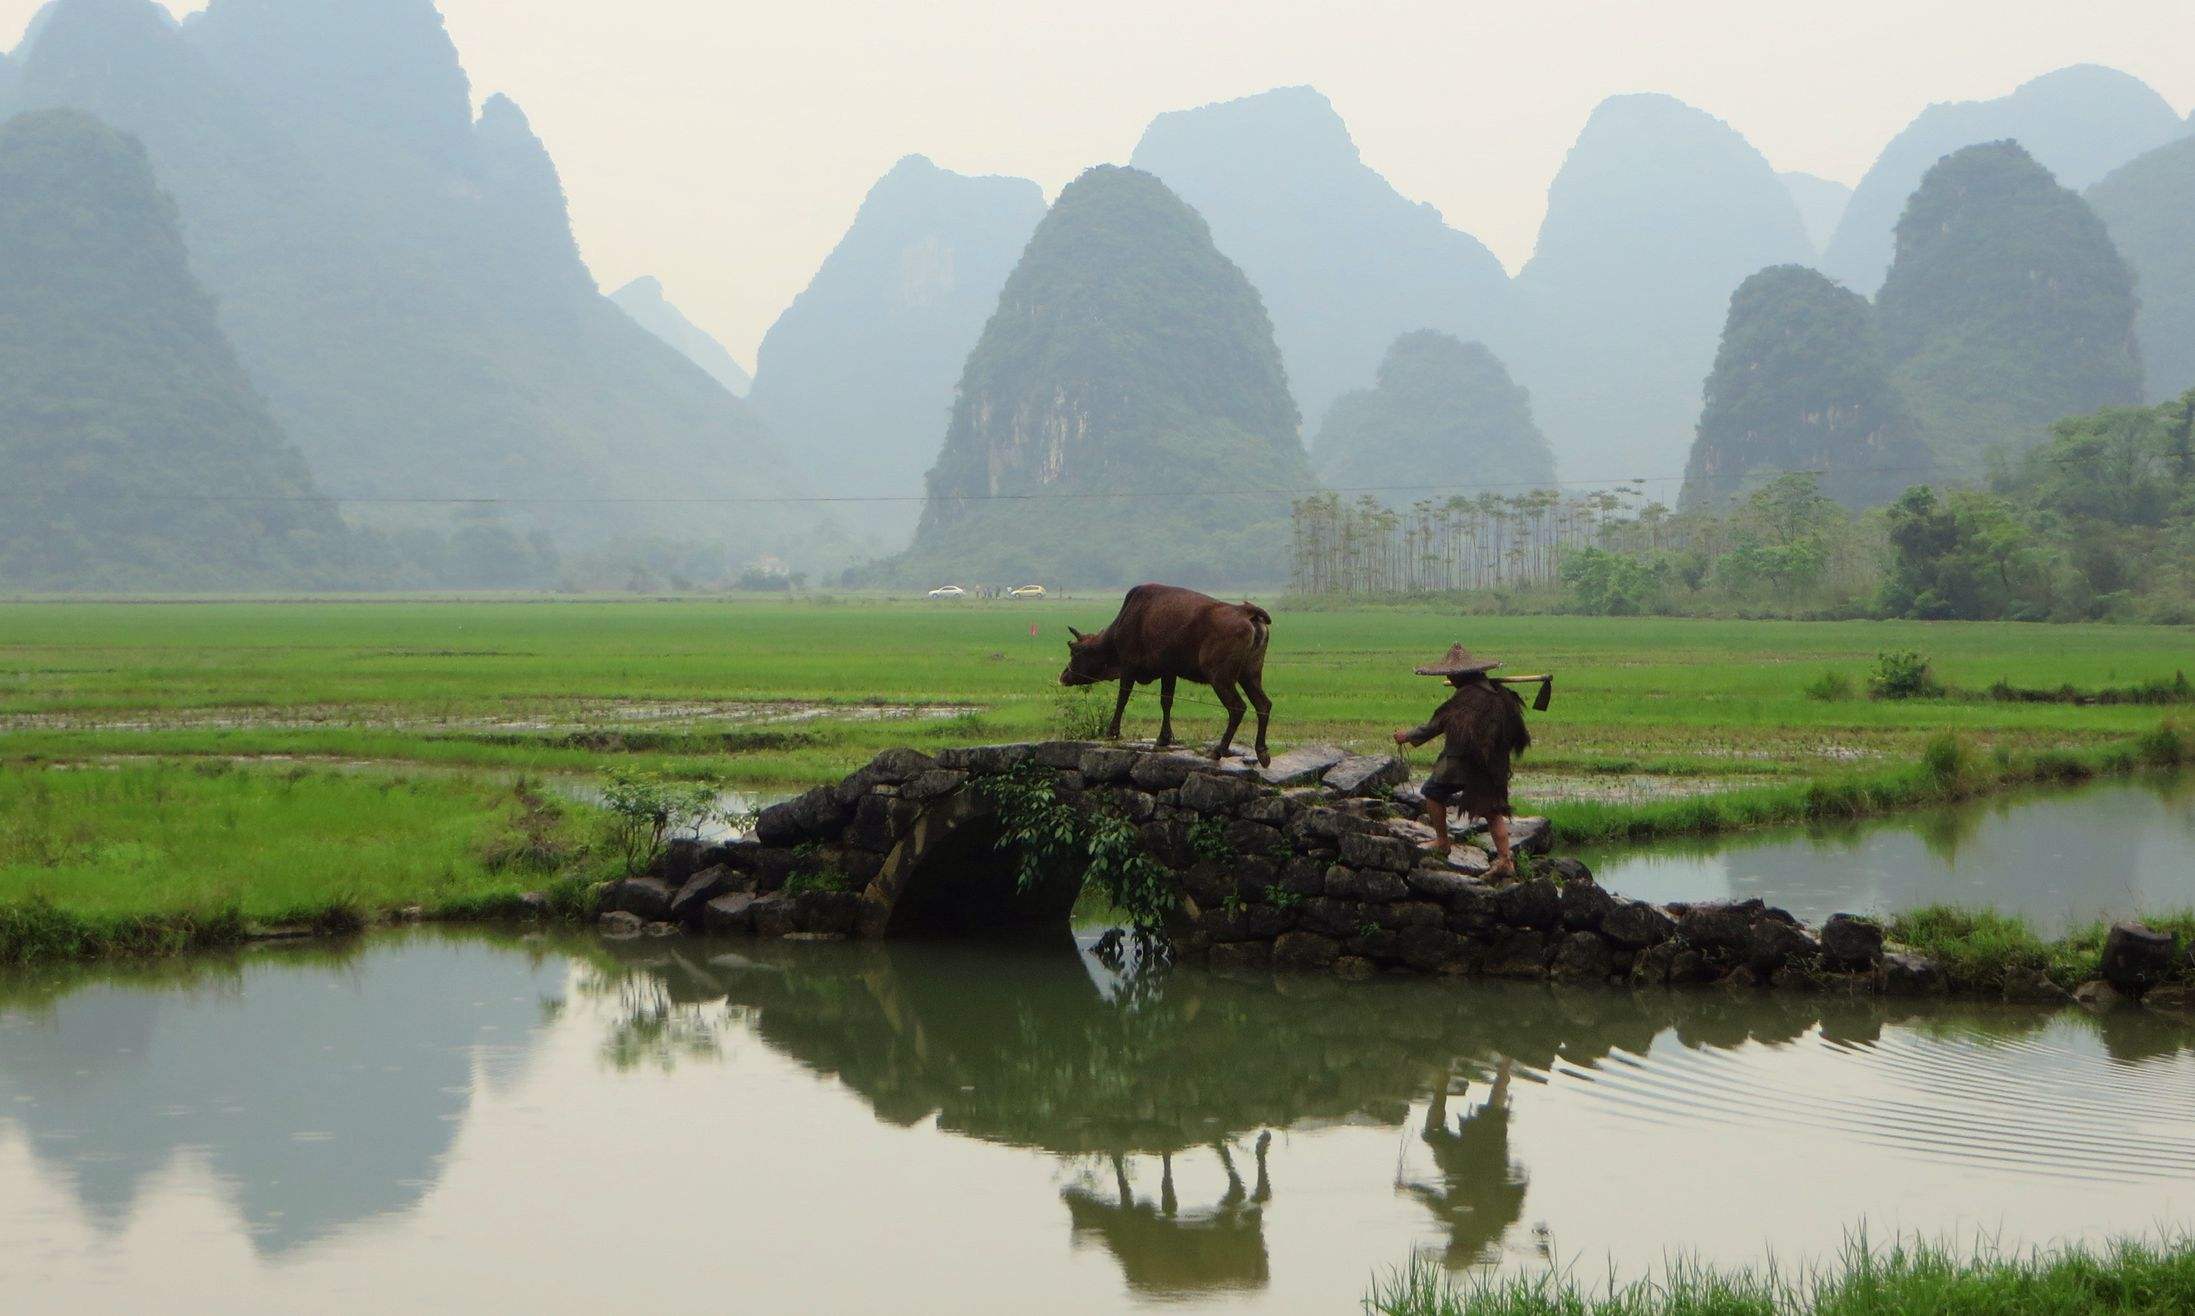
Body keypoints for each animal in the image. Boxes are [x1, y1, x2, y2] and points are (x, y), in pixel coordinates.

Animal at [1057, 583, 1281, 767]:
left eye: (1074, 651)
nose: (1064, 676)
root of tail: (1248, 612)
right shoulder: (1168, 670)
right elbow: (1166, 701)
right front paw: (1164, 737)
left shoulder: (1129, 665)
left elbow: (1123, 699)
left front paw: (1112, 732)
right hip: (1250, 674)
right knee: (1264, 705)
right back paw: (1262, 752)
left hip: (1220, 676)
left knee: (1237, 707)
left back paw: (1218, 750)